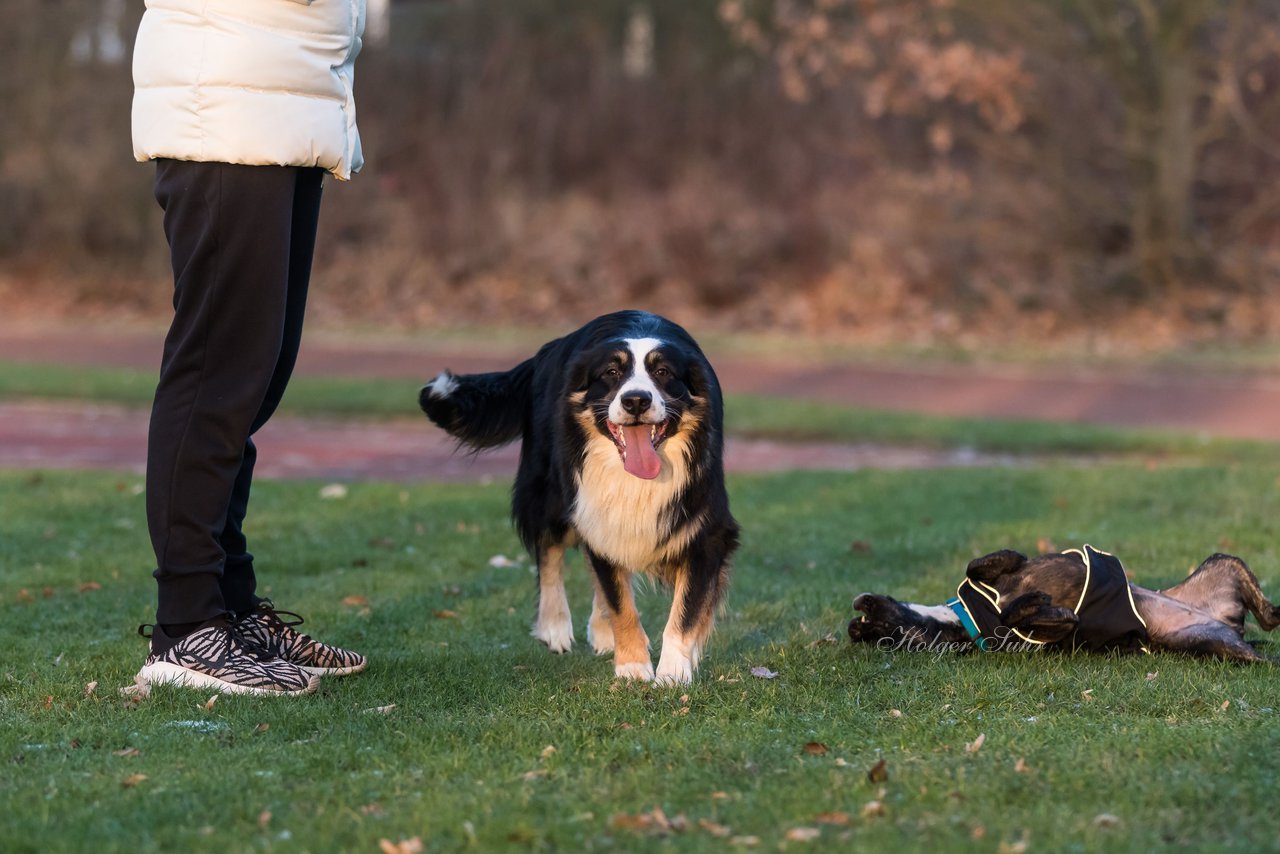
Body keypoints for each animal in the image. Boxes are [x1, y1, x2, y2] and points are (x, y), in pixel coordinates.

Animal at [419, 311, 742, 686]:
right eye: (611, 373)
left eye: (663, 372)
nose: (636, 400)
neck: (637, 478)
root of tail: (549, 349)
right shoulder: (592, 507)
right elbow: (620, 602)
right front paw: (632, 667)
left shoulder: (707, 531)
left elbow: (684, 610)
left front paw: (672, 672)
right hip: (549, 493)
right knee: (549, 553)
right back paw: (555, 627)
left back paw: (601, 632)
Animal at [849, 545, 1280, 665]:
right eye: (885, 635)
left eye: (877, 626)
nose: (859, 610)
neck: (967, 621)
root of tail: (1229, 623)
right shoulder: (1049, 633)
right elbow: (1019, 613)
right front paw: (1037, 604)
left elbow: (977, 565)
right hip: (1218, 644)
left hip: (1223, 563)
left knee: (1269, 615)